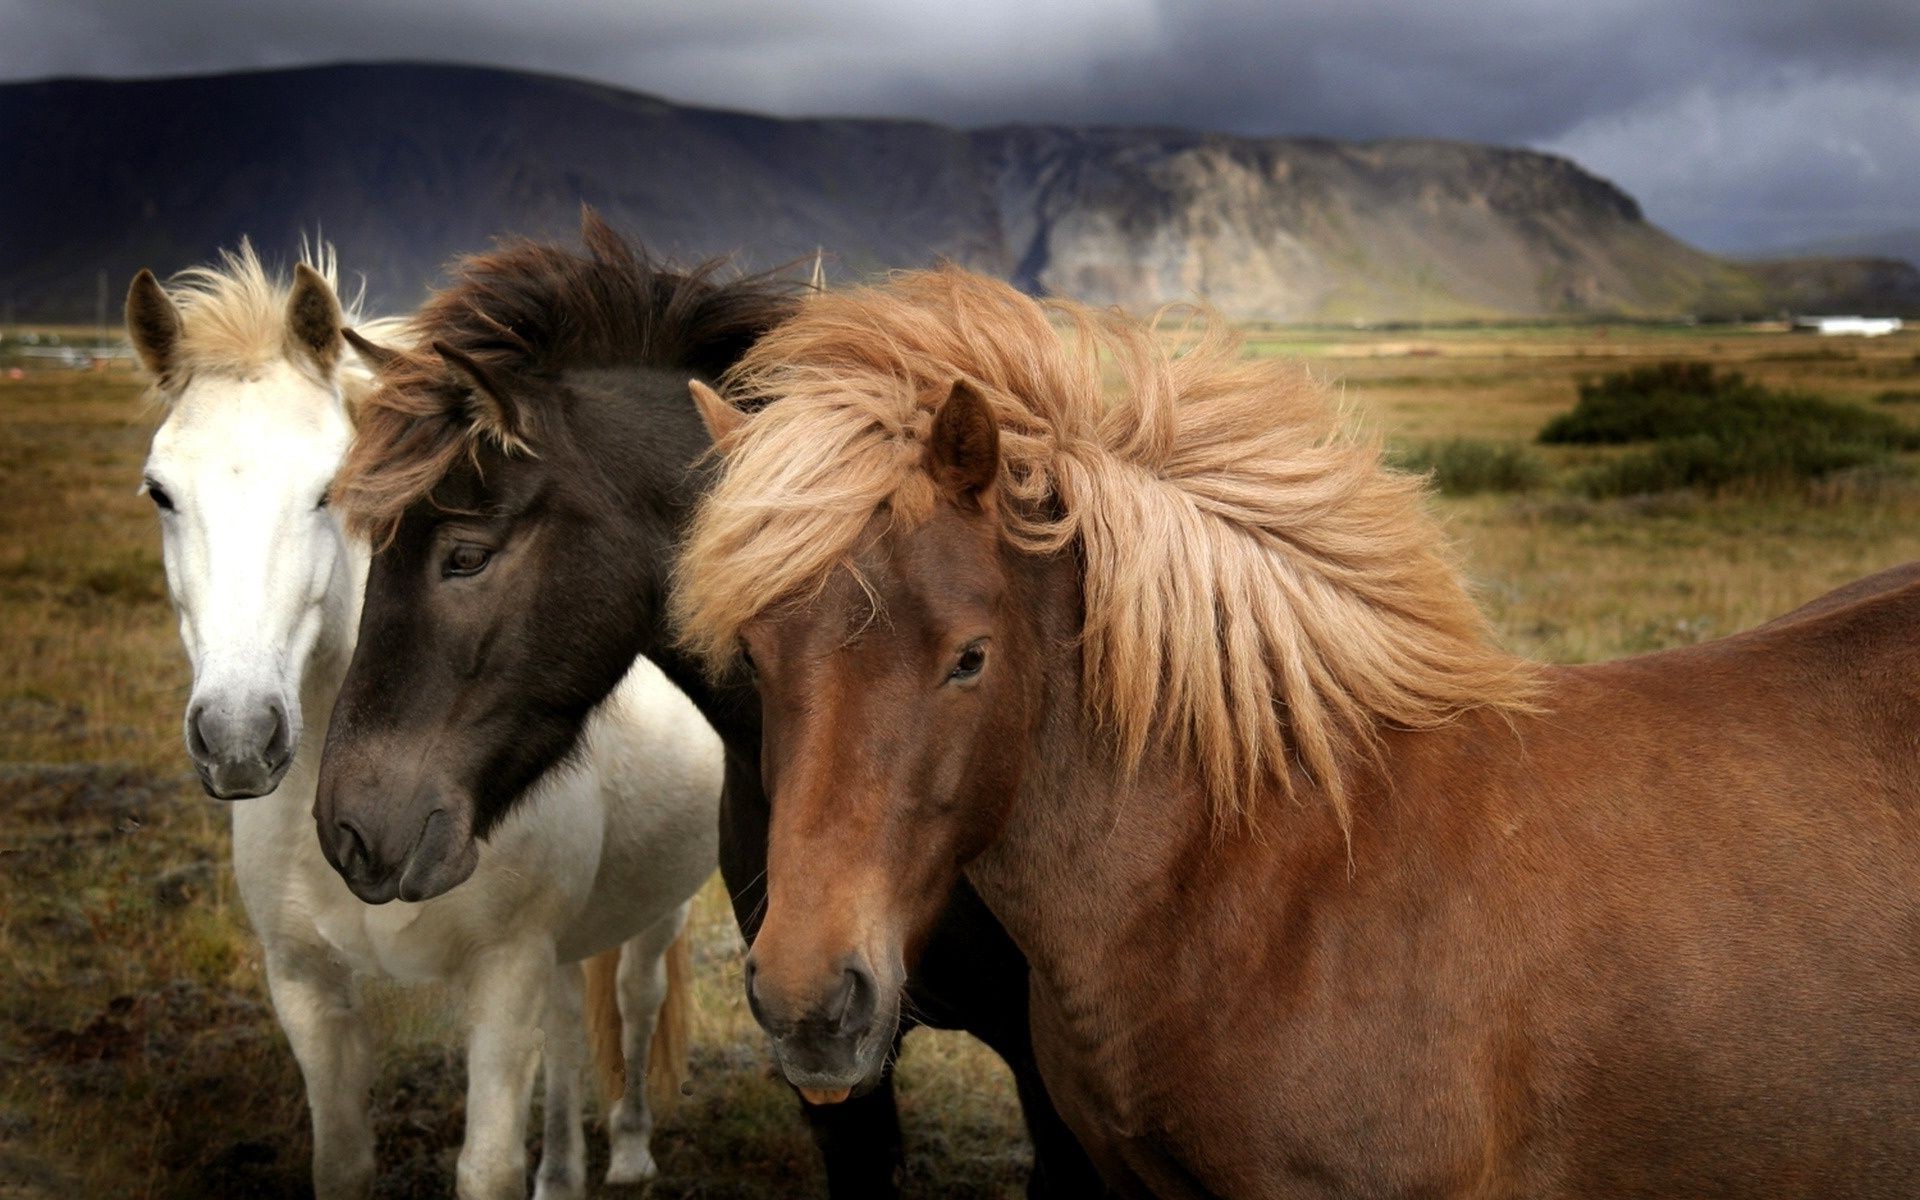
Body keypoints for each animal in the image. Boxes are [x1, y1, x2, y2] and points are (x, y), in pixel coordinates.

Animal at [127, 245, 721, 1198]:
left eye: (328, 491)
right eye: (159, 493)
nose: (238, 736)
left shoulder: (504, 978)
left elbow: (487, 1167)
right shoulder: (305, 988)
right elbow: (342, 1160)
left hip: (659, 908)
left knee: (635, 1000)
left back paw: (629, 1151)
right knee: (568, 1026)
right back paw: (565, 1172)